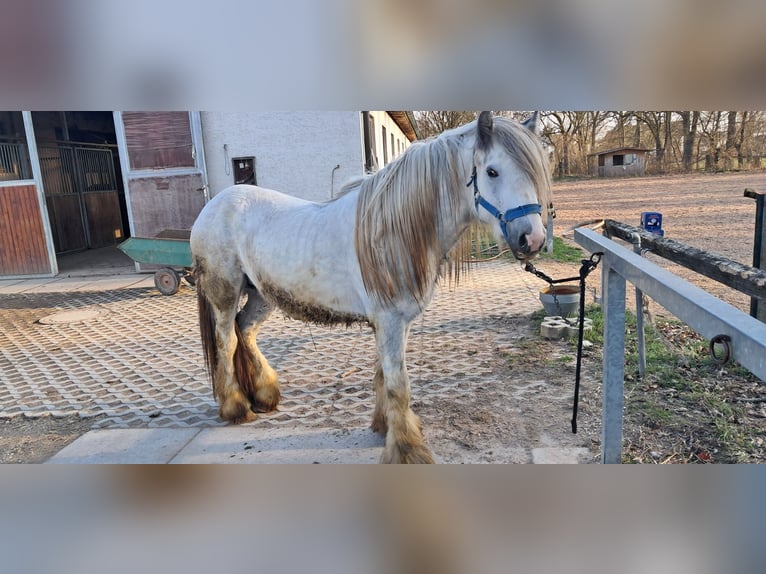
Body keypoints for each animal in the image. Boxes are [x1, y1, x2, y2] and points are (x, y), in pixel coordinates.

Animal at [190, 111, 552, 463]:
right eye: (492, 171)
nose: (532, 239)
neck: (395, 229)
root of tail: (213, 205)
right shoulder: (389, 320)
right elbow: (398, 383)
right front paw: (408, 450)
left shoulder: (397, 323)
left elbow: (382, 376)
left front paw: (384, 426)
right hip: (225, 293)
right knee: (227, 340)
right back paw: (236, 406)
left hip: (263, 293)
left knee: (246, 331)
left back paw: (264, 395)